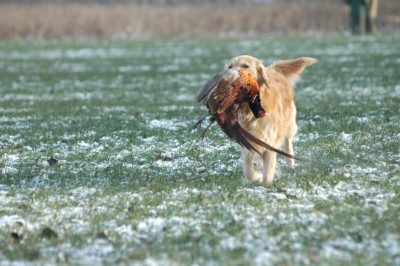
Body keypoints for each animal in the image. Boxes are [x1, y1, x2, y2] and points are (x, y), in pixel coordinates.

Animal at [225, 55, 316, 184]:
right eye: (230, 66)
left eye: (245, 66)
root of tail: (273, 69)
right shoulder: (246, 142)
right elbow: (248, 172)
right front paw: (257, 177)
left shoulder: (269, 141)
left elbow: (267, 172)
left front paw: (265, 184)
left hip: (288, 124)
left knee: (287, 141)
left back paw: (291, 162)